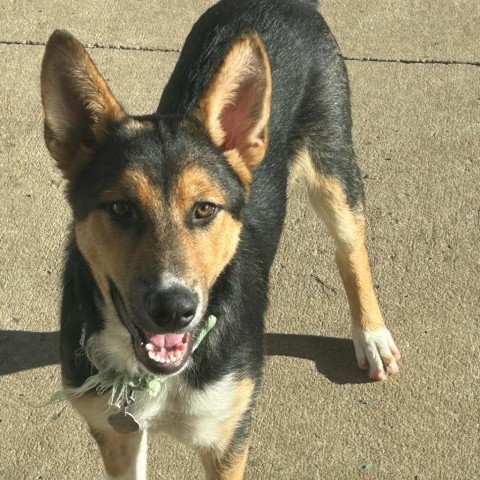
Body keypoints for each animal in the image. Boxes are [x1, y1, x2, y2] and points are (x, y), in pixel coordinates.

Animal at [41, 0, 400, 480]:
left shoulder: (227, 439)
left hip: (333, 161)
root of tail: (286, 3)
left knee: (351, 249)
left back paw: (371, 335)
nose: (174, 310)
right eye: (120, 208)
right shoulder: (116, 433)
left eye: (205, 209)